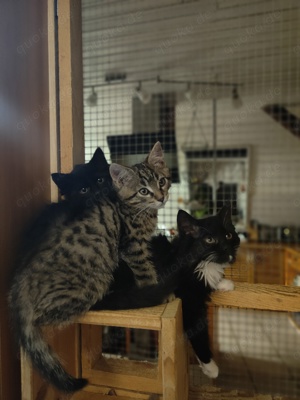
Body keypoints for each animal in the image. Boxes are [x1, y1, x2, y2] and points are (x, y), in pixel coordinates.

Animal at [7, 141, 171, 394]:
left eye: (161, 181)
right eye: (144, 191)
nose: (161, 197)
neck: (135, 208)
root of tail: (20, 284)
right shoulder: (132, 246)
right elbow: (145, 270)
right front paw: (156, 290)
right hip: (93, 281)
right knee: (45, 316)